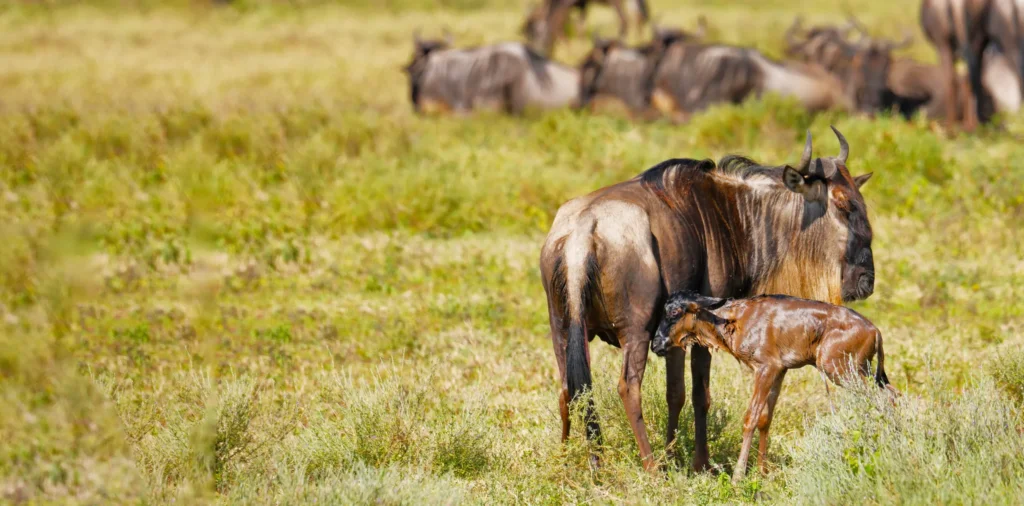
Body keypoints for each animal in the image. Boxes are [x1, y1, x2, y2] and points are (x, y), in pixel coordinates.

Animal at [522, 0, 650, 55]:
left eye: (534, 32)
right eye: (528, 34)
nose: (534, 49)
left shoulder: (566, 5)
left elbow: (557, 26)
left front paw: (571, 51)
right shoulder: (581, 5)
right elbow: (580, 25)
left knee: (626, 21)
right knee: (639, 18)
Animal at [540, 128, 876, 472]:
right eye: (844, 205)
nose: (866, 281)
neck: (733, 212)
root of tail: (582, 232)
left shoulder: (675, 335)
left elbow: (676, 393)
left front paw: (676, 456)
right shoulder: (698, 327)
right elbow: (697, 394)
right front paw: (698, 463)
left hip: (562, 330)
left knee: (569, 387)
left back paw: (572, 458)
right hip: (635, 331)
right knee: (628, 387)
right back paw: (651, 468)